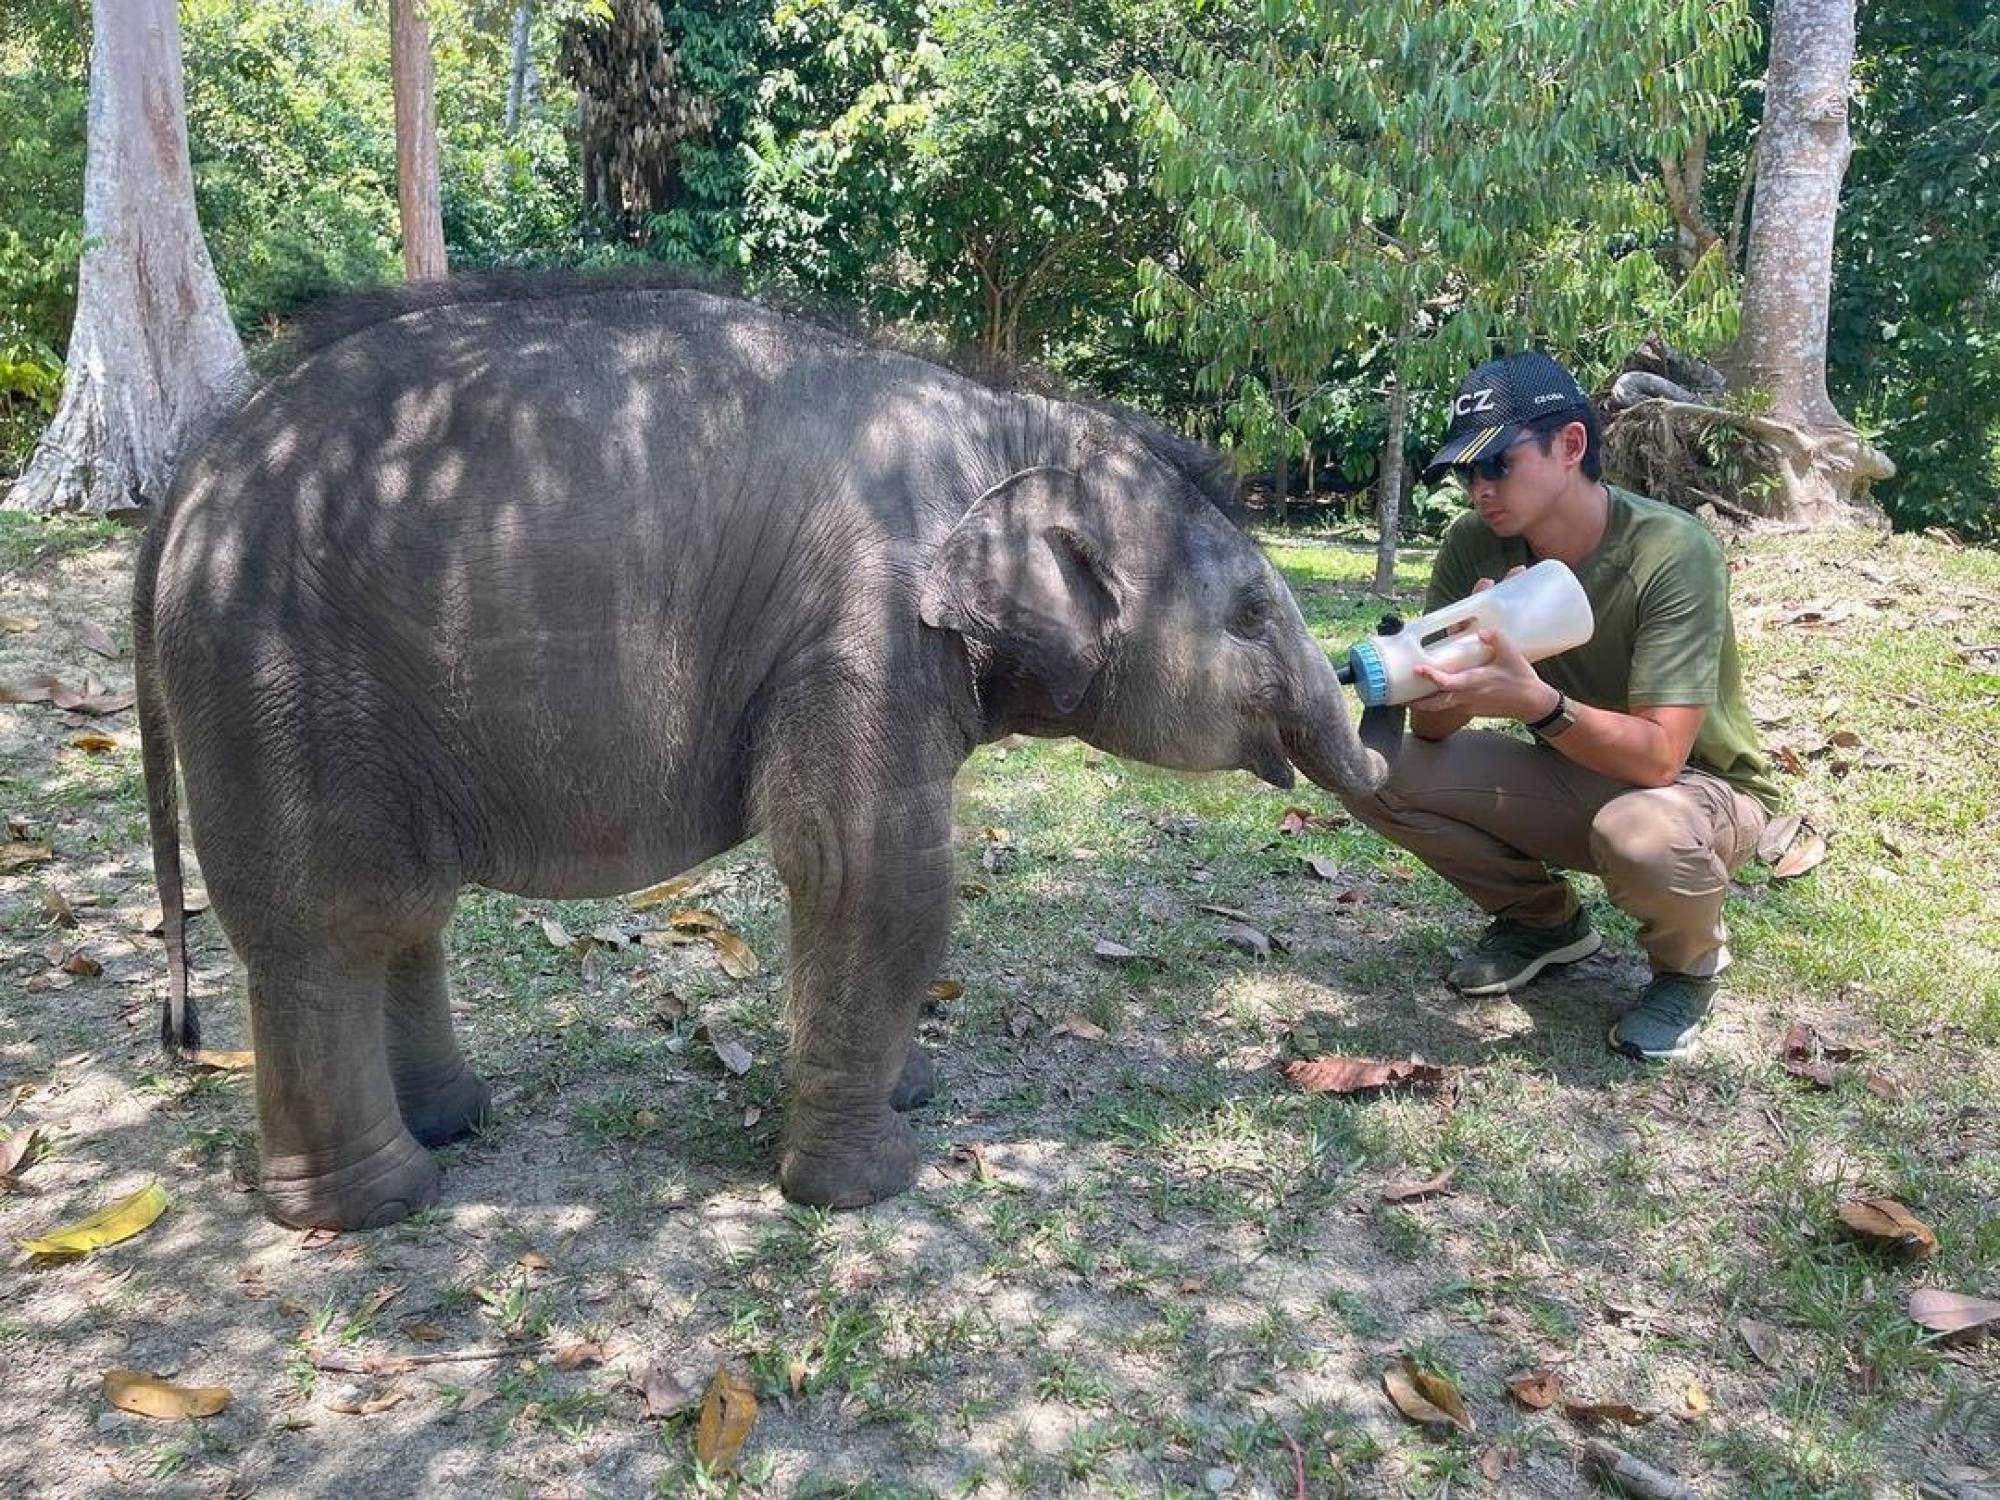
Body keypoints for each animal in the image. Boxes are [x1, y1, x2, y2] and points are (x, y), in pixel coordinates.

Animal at [141, 274, 1392, 1232]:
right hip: (279, 684)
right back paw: (376, 1205)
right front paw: (870, 1183)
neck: (1010, 424)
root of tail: (192, 473)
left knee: (404, 912)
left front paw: (911, 1095)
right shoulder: (864, 629)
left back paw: (457, 1122)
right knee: (331, 925)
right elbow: (865, 875)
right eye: (1248, 617)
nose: (1378, 707)